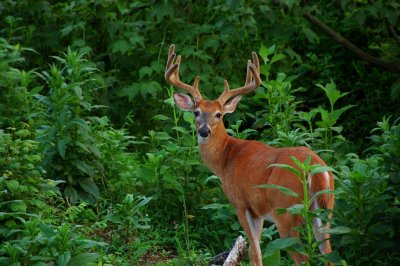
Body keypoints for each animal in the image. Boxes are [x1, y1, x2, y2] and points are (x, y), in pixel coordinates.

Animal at [164, 44, 332, 264]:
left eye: (218, 114)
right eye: (196, 112)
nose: (204, 131)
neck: (226, 159)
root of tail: (313, 168)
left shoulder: (241, 203)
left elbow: (254, 250)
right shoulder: (259, 211)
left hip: (286, 213)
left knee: (303, 257)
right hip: (325, 210)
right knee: (329, 254)